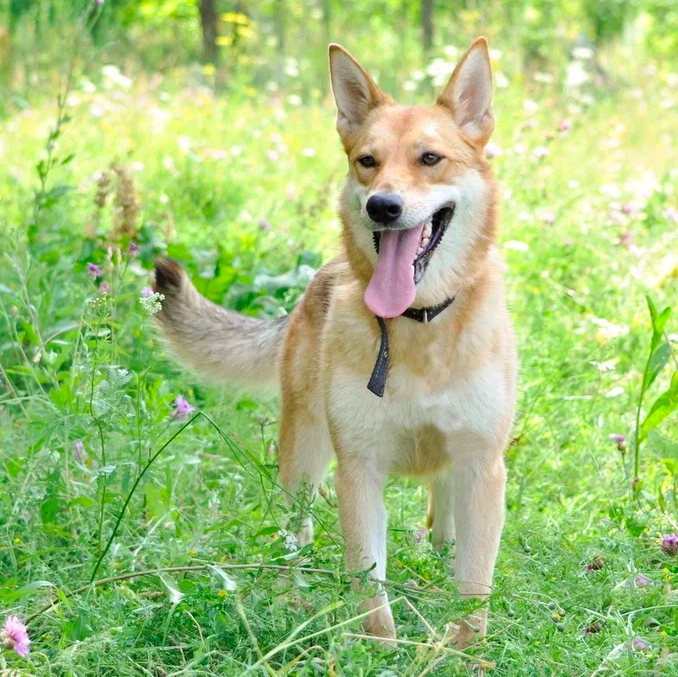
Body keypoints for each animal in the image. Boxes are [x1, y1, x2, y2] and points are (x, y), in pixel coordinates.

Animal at [153, 38, 516, 648]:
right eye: (367, 161)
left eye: (430, 159)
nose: (382, 206)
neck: (418, 326)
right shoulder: (359, 470)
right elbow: (370, 586)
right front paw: (381, 649)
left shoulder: (482, 467)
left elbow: (474, 588)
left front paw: (464, 650)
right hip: (302, 454)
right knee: (293, 536)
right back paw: (291, 593)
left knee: (444, 517)